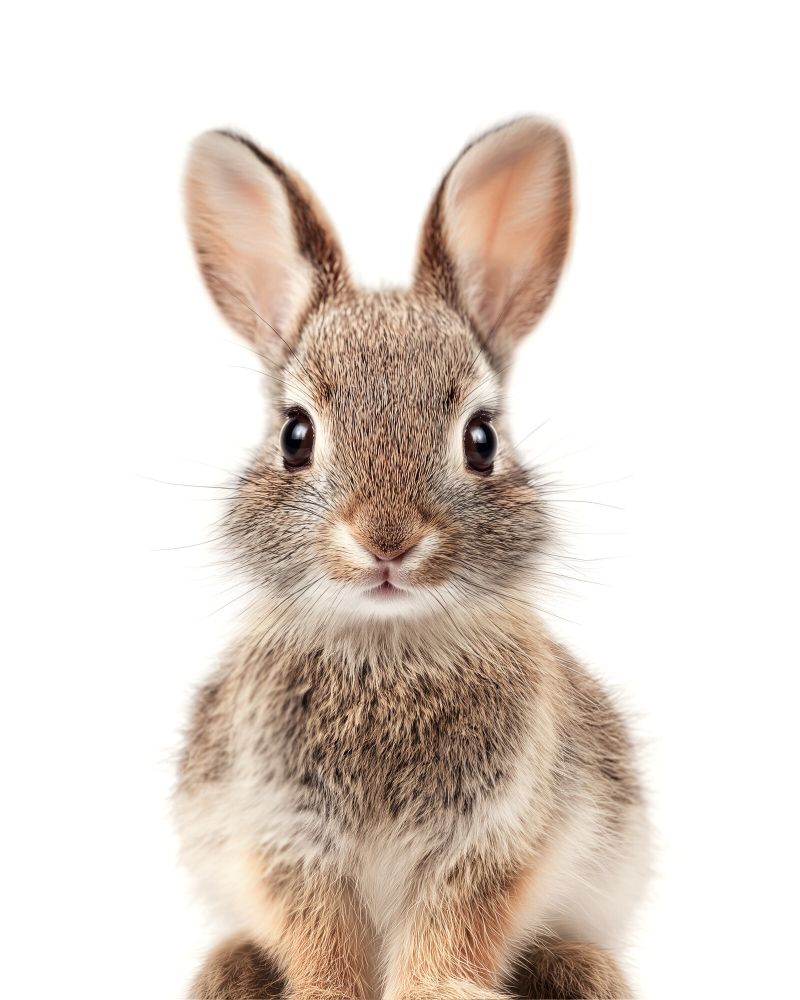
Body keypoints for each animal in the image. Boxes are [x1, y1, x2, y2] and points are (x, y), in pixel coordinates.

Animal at [175, 118, 651, 1000]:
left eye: (481, 439)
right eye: (295, 434)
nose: (387, 539)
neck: (388, 646)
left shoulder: (490, 839)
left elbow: (452, 927)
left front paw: (439, 991)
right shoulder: (288, 836)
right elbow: (319, 933)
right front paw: (327, 994)